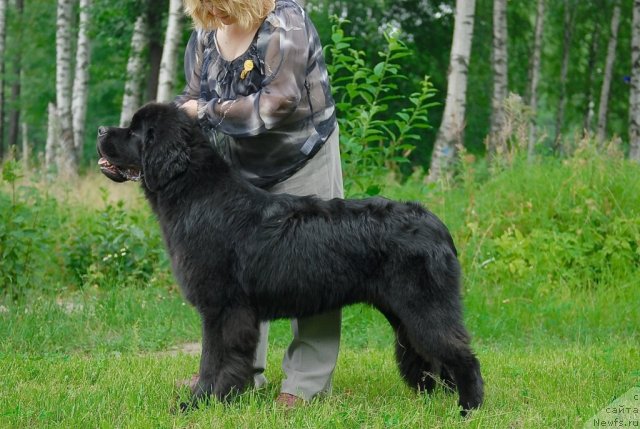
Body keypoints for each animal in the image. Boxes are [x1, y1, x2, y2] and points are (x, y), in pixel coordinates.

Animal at [97, 102, 482, 412]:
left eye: (134, 131)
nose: (101, 130)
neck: (195, 192)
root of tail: (435, 223)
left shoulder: (222, 308)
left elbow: (213, 360)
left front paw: (199, 403)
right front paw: (225, 398)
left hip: (424, 306)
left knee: (461, 354)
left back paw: (468, 408)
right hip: (403, 313)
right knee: (428, 355)